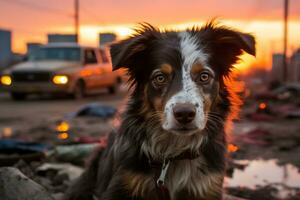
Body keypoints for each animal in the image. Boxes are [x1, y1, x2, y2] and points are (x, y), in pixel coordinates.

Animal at [65, 21, 255, 200]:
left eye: (204, 76)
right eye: (160, 77)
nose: (184, 114)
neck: (174, 154)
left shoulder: (207, 186)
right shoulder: (122, 184)